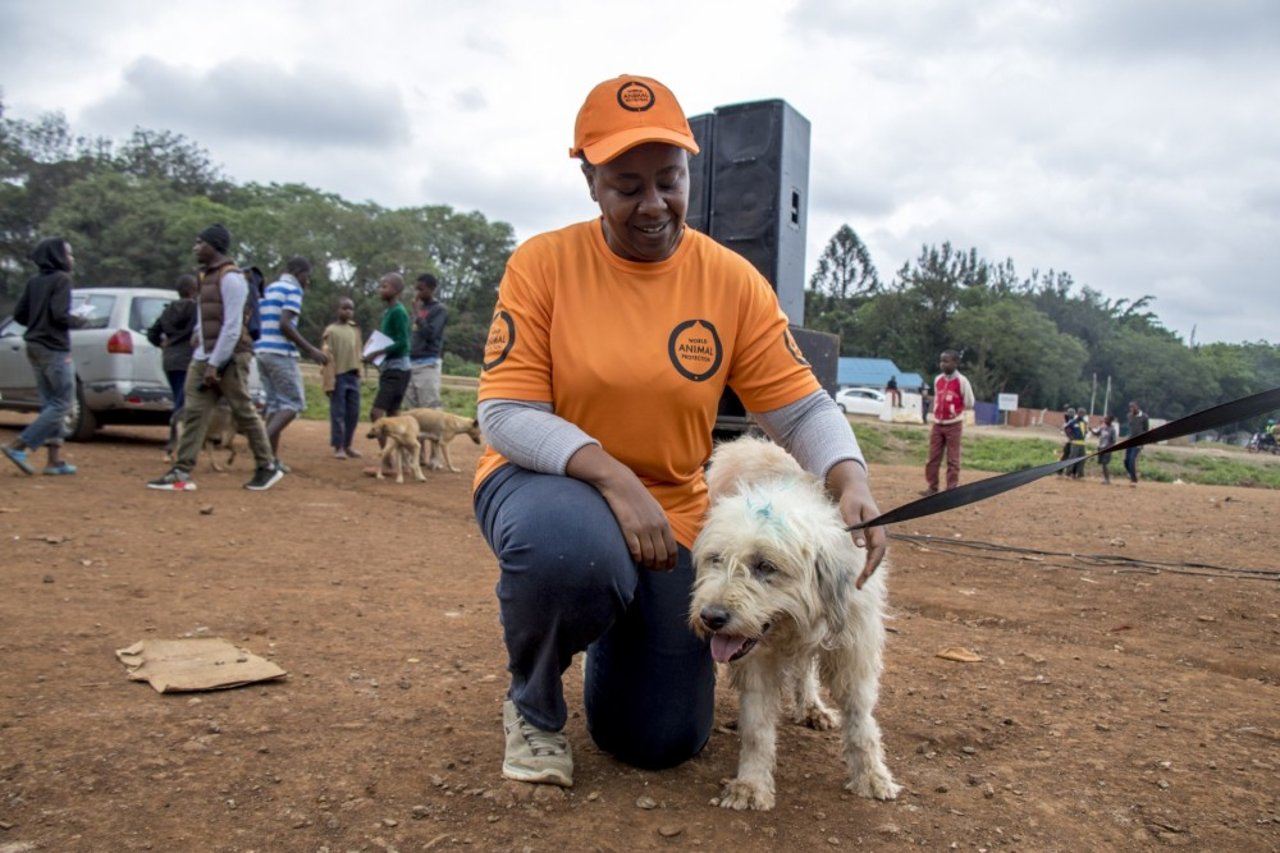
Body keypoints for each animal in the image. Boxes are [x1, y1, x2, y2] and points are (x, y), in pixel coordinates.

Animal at [691, 435, 901, 809]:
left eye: (765, 566)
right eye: (715, 559)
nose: (711, 617)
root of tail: (745, 441)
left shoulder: (854, 652)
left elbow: (861, 721)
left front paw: (872, 775)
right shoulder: (756, 660)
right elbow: (757, 729)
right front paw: (751, 784)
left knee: (804, 669)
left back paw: (812, 707)